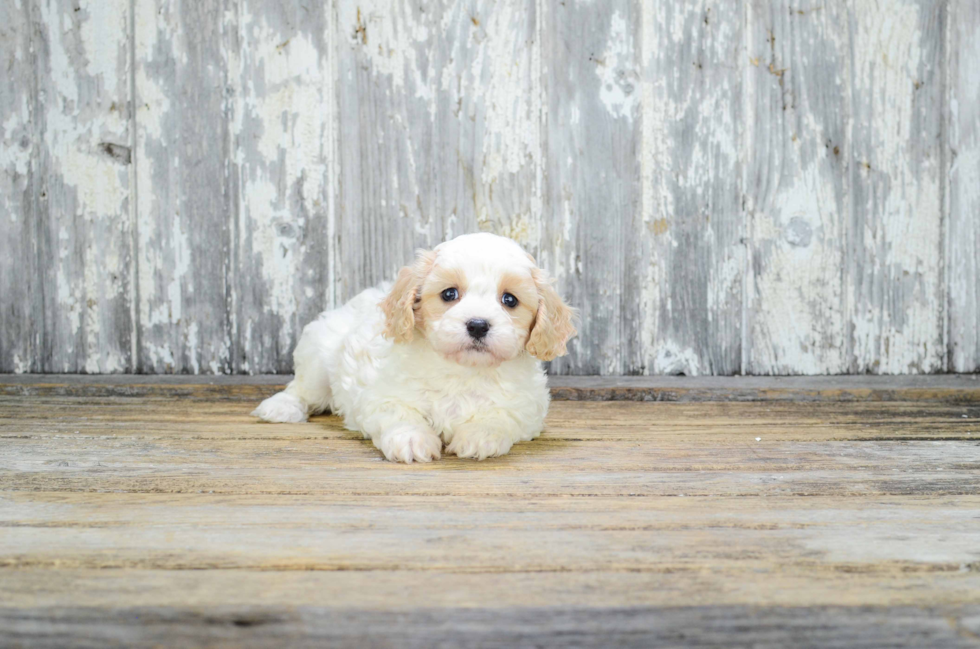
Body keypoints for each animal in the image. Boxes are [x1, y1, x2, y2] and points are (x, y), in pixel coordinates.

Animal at [253, 232, 580, 460]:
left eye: (509, 299)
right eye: (449, 294)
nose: (477, 324)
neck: (463, 371)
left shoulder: (526, 407)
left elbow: (501, 416)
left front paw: (479, 436)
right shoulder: (382, 395)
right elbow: (400, 414)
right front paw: (412, 440)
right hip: (318, 357)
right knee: (302, 389)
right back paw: (281, 407)